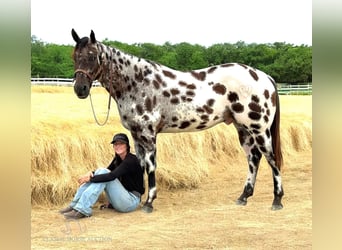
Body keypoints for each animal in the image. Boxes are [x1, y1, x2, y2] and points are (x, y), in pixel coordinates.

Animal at [71, 29, 284, 213]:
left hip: (259, 129)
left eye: (92, 55)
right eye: (75, 56)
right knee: (253, 158)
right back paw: (244, 197)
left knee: (272, 159)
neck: (138, 83)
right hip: (244, 129)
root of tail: (264, 76)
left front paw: (149, 202)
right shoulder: (136, 135)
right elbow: (141, 166)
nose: (80, 89)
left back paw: (277, 200)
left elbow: (151, 167)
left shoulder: (148, 135)